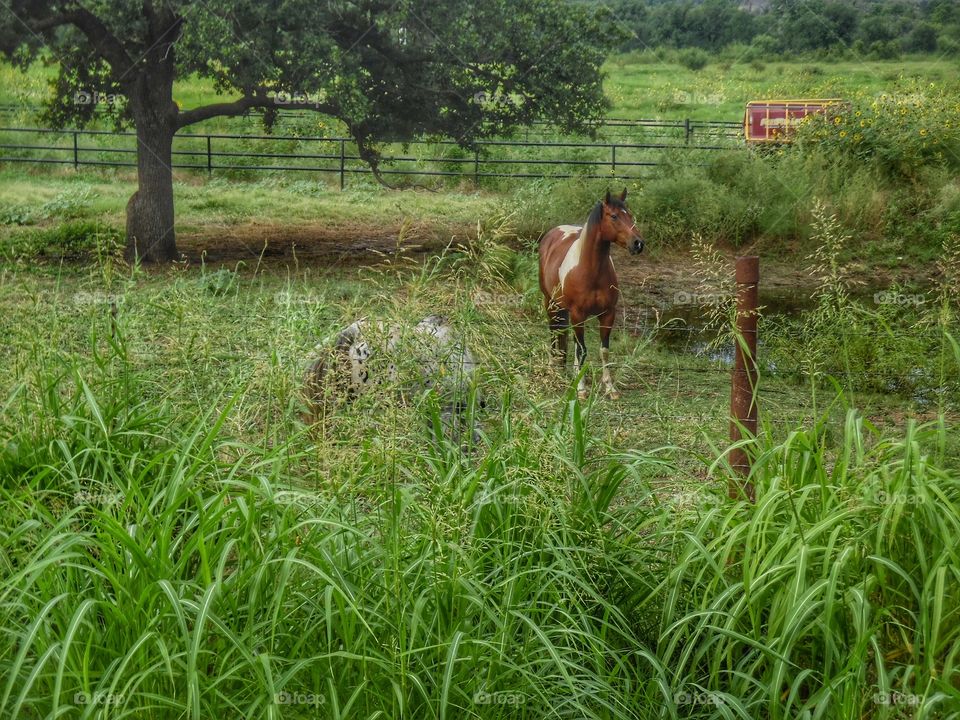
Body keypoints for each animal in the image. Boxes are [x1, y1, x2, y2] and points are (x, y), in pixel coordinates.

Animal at [538, 188, 644, 400]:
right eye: (614, 216)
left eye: (630, 214)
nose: (638, 243)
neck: (591, 271)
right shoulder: (578, 315)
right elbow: (582, 350)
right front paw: (581, 389)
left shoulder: (608, 314)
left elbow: (604, 351)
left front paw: (610, 388)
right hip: (550, 302)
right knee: (554, 331)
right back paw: (553, 366)